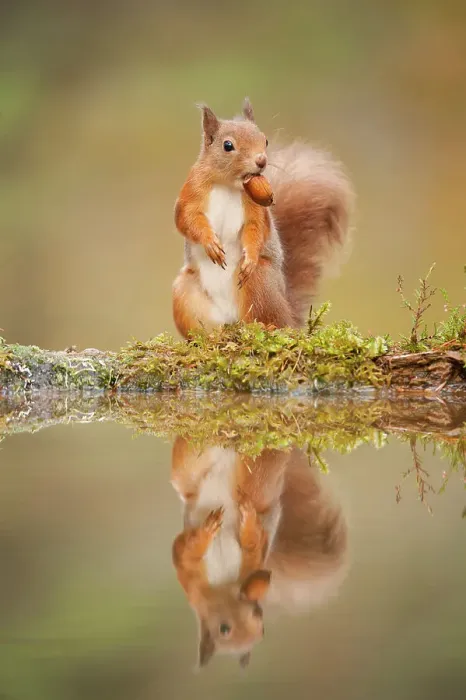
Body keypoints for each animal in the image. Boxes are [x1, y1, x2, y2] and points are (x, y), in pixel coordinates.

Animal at [170, 438, 348, 669]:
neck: (224, 586)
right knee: (187, 462)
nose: (252, 606)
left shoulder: (254, 558)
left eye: (260, 624)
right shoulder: (189, 575)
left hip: (258, 486)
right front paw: (206, 532)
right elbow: (188, 548)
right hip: (188, 475)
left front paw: (248, 525)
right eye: (224, 629)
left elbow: (253, 544)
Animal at [172, 98, 354, 338]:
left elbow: (256, 227)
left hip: (261, 281)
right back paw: (210, 336)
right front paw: (210, 243)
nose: (261, 161)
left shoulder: (256, 208)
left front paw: (249, 256)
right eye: (227, 145)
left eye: (264, 140)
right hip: (185, 293)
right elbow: (186, 218)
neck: (228, 183)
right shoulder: (191, 192)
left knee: (271, 320)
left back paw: (265, 327)